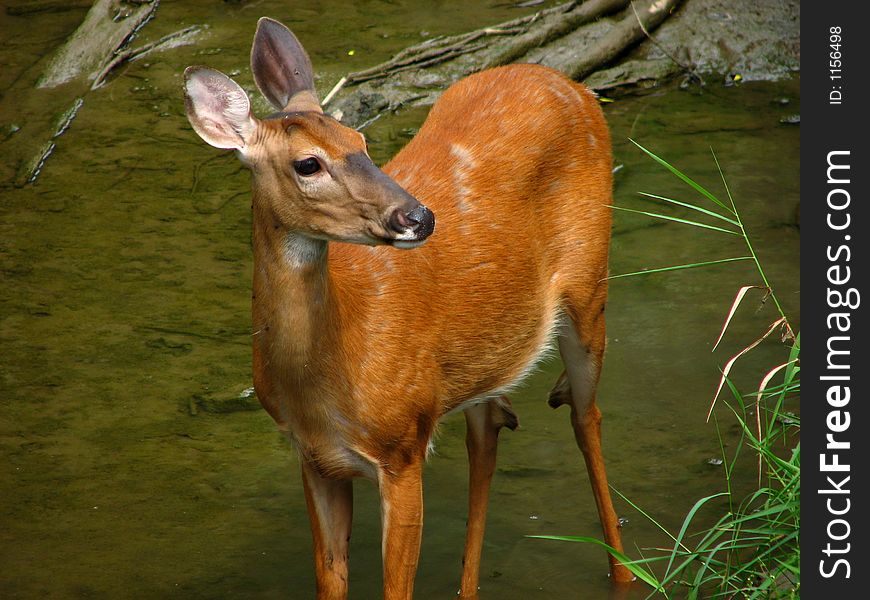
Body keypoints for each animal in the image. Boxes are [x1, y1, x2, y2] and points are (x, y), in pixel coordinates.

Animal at [184, 17, 632, 600]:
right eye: (308, 163)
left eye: (361, 140)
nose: (417, 216)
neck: (323, 379)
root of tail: (571, 83)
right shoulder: (315, 458)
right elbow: (331, 578)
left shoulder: (402, 445)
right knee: (488, 432)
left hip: (589, 286)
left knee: (585, 417)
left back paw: (625, 573)